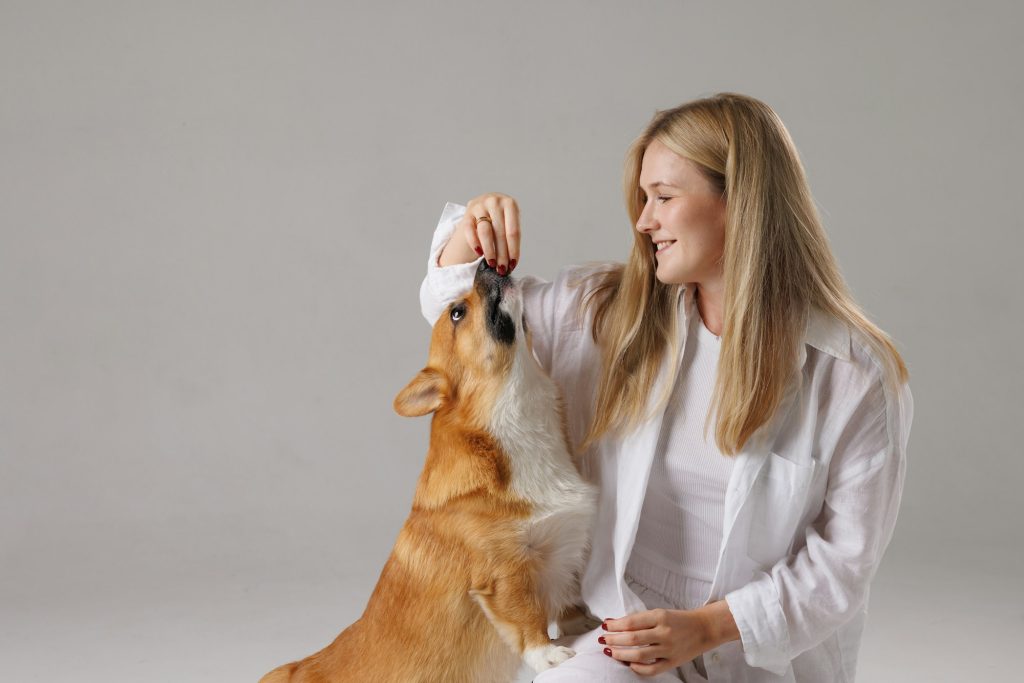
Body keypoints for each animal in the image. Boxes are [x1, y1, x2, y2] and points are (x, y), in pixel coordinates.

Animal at [260, 259, 598, 679]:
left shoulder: (564, 550)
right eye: (457, 312)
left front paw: (587, 626)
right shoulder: (506, 572)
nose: (484, 262)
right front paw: (548, 654)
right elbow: (527, 617)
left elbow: (568, 597)